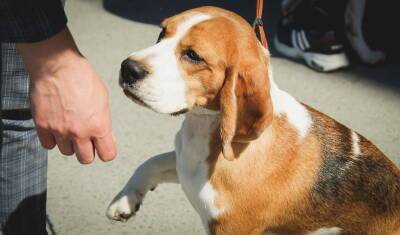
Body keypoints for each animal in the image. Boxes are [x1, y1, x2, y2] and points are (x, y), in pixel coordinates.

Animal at [107, 6, 400, 234]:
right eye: (161, 33)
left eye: (193, 55)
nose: (127, 68)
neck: (203, 129)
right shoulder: (185, 163)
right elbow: (151, 162)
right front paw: (124, 201)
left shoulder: (231, 228)